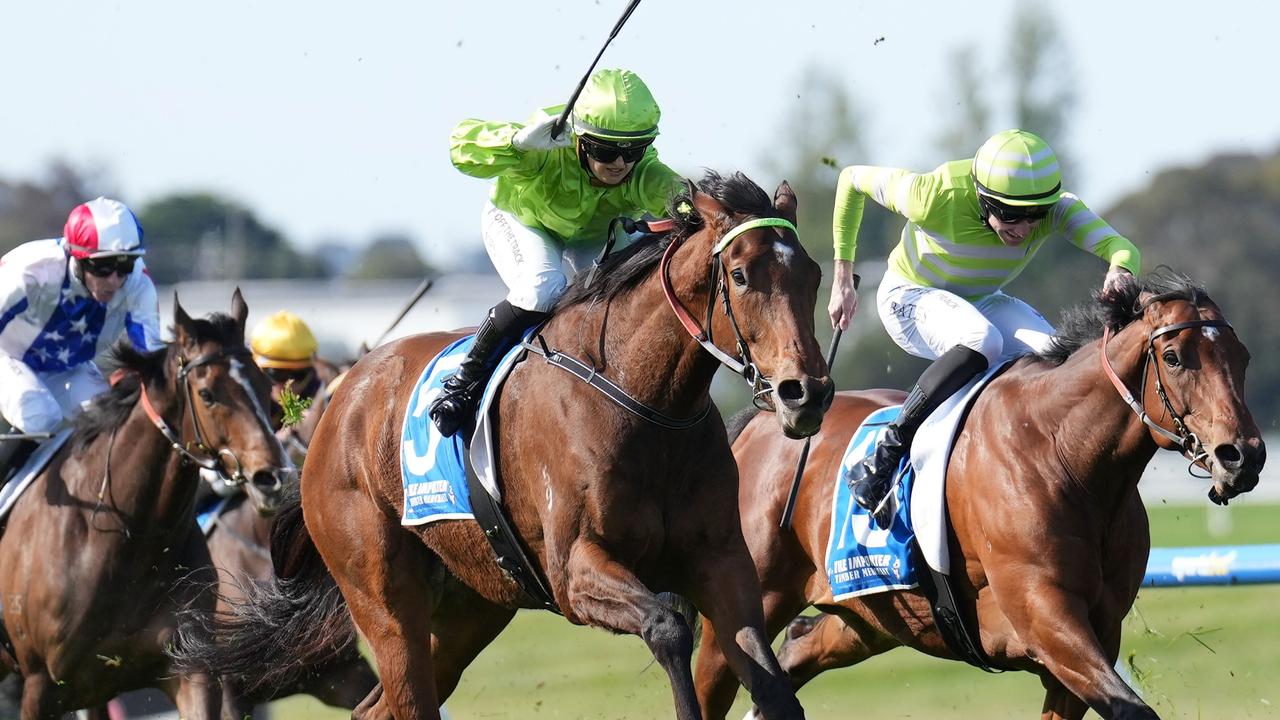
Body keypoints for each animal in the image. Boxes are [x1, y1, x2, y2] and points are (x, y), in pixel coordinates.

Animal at [180, 170, 834, 712]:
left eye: (814, 274)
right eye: (742, 276)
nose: (806, 392)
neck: (643, 401)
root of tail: (338, 401)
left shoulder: (722, 561)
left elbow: (773, 685)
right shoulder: (575, 570)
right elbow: (669, 628)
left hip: (471, 605)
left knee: (377, 707)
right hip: (382, 599)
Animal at [696, 270, 1264, 717]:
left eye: (1242, 356)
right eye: (1174, 356)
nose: (1244, 455)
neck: (1063, 455)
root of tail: (765, 419)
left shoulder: (1095, 636)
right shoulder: (1047, 621)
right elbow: (1133, 709)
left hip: (873, 614)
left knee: (794, 655)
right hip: (747, 601)